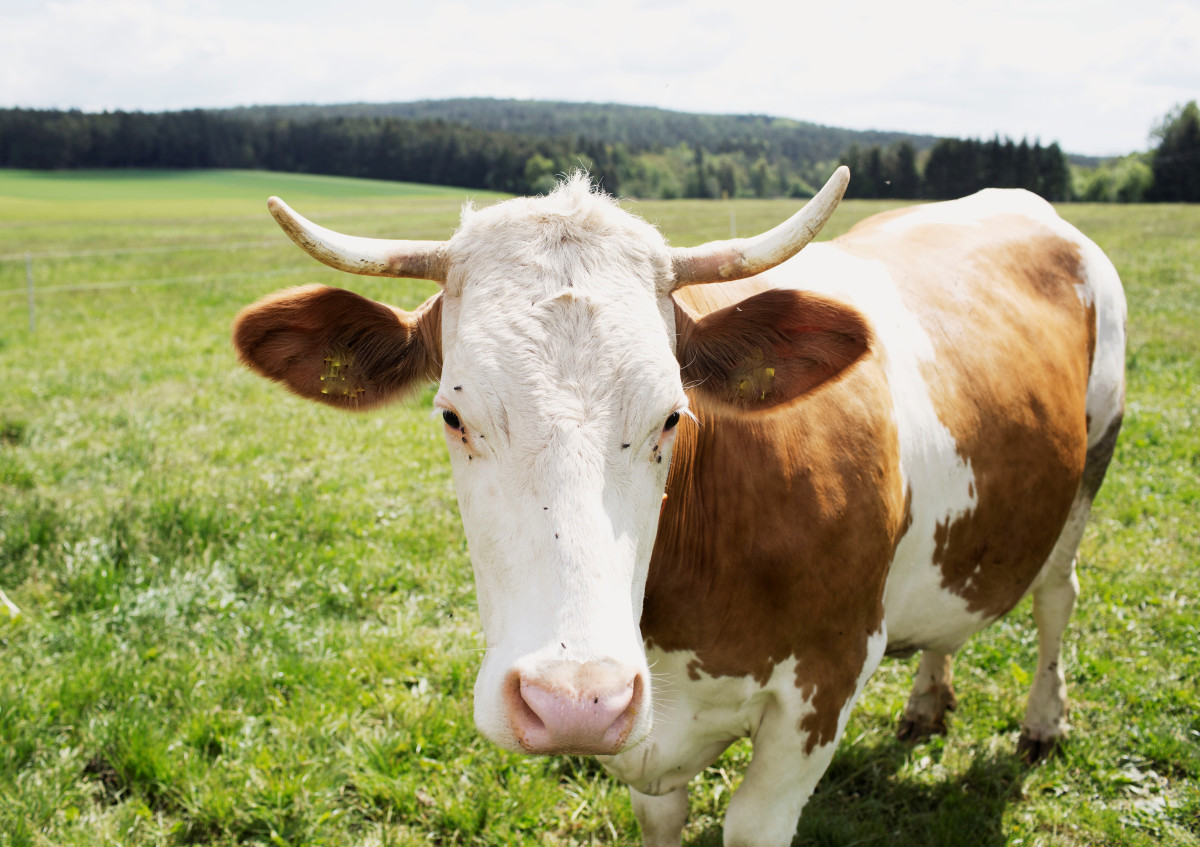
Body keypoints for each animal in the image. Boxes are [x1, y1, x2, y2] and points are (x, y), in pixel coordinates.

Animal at [231, 166, 1123, 844]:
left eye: (671, 414)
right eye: (454, 414)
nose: (573, 700)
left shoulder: (824, 683)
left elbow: (754, 819)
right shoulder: (646, 744)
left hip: (1091, 463)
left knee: (1057, 595)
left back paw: (1043, 720)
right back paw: (929, 700)